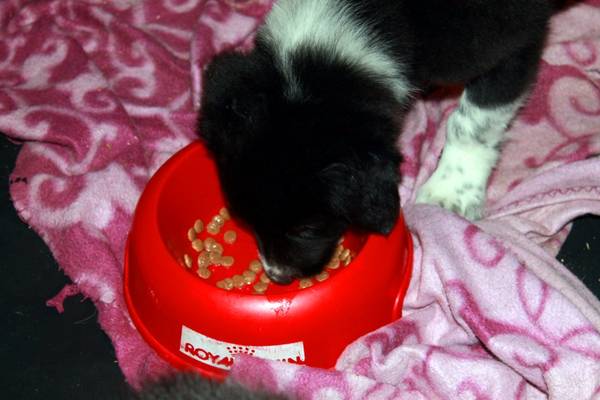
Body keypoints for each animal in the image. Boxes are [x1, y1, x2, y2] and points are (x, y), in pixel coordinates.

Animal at [199, 0, 554, 284]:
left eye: (306, 230)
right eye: (246, 222)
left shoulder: (512, 43)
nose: (278, 277)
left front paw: (450, 192)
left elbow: (472, 122)